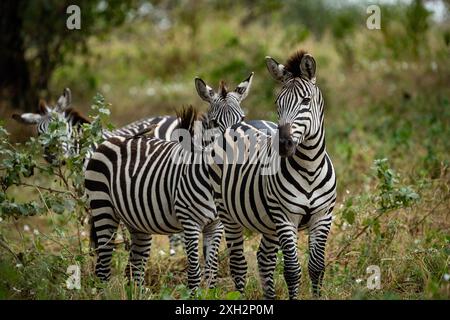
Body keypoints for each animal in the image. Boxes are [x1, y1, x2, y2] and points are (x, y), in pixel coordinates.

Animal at [84, 74, 253, 290]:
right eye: (214, 122)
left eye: (242, 119)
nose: (234, 154)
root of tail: (112, 139)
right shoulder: (190, 222)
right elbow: (195, 273)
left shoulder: (216, 225)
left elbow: (211, 272)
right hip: (103, 208)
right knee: (103, 267)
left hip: (137, 222)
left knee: (134, 268)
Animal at [209, 50, 336, 300]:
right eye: (278, 103)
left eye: (306, 101)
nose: (284, 144)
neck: (310, 168)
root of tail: (237, 125)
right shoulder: (285, 218)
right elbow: (292, 271)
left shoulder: (323, 217)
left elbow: (317, 268)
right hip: (228, 214)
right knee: (238, 264)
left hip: (269, 224)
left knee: (264, 260)